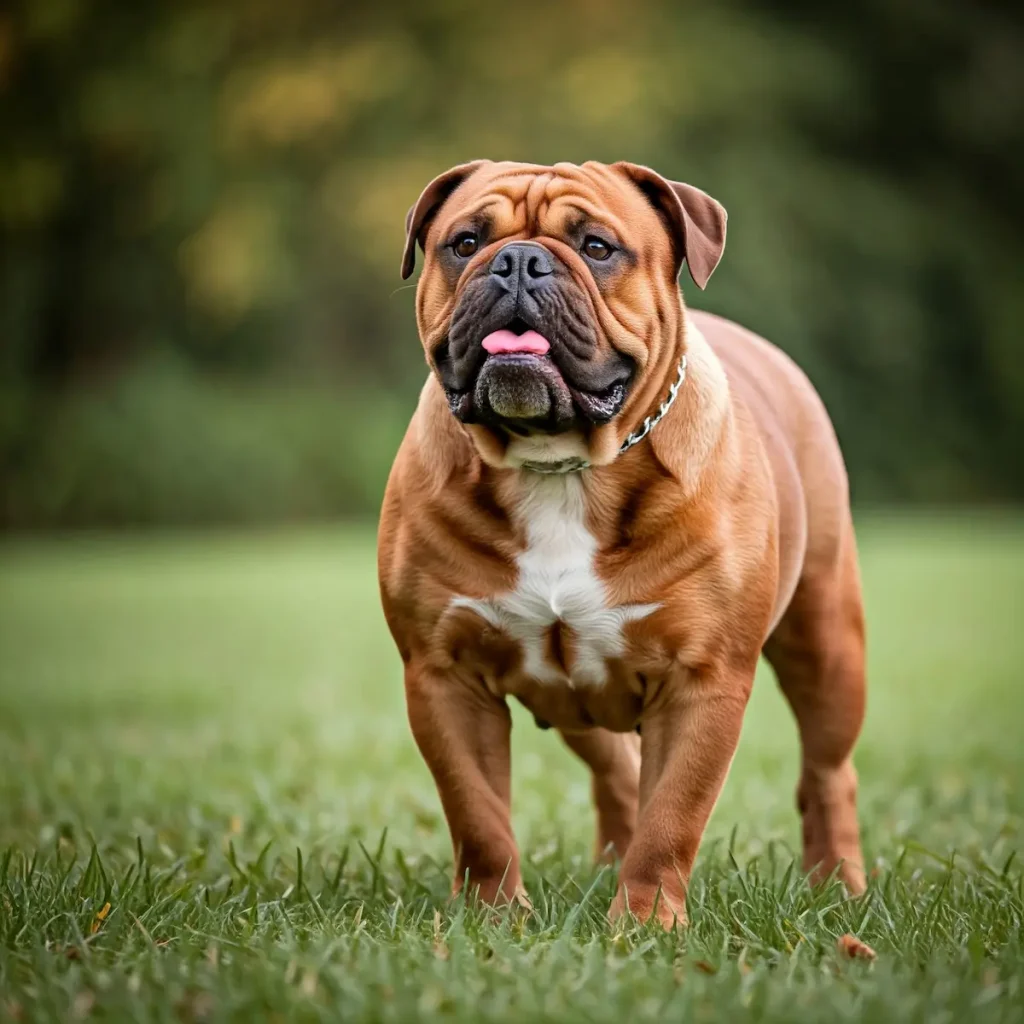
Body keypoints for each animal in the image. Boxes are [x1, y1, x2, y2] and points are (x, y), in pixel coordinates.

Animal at [380, 159, 868, 929]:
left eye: (598, 247)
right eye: (465, 243)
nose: (518, 261)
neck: (557, 466)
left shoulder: (703, 681)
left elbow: (672, 817)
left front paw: (642, 926)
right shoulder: (443, 675)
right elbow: (478, 814)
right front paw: (493, 919)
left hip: (826, 640)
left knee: (826, 772)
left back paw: (839, 885)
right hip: (572, 697)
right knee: (616, 770)